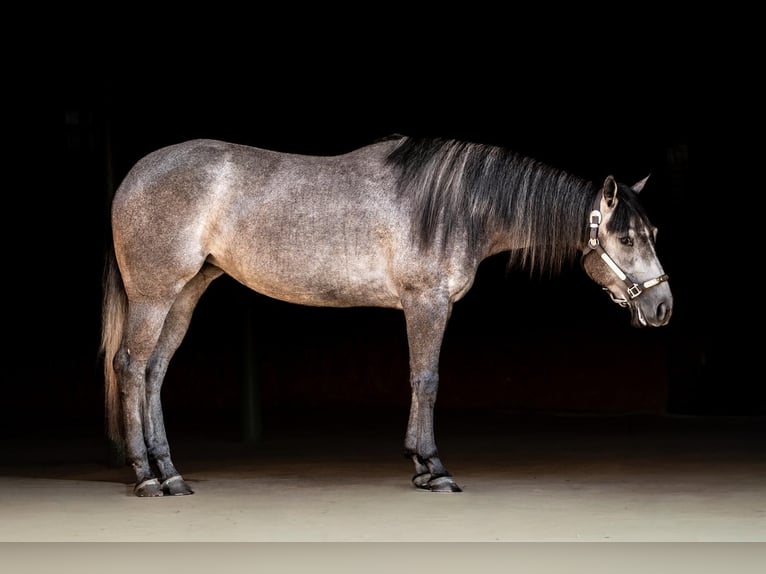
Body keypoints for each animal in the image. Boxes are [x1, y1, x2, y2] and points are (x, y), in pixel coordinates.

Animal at [100, 135, 672, 496]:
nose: (662, 306)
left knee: (154, 372)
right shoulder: (427, 302)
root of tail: (133, 176)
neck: (455, 207)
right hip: (155, 293)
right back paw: (146, 477)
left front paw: (420, 466)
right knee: (130, 367)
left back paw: (171, 473)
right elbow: (426, 379)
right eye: (626, 238)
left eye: (651, 233)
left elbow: (419, 380)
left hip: (186, 292)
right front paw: (433, 468)